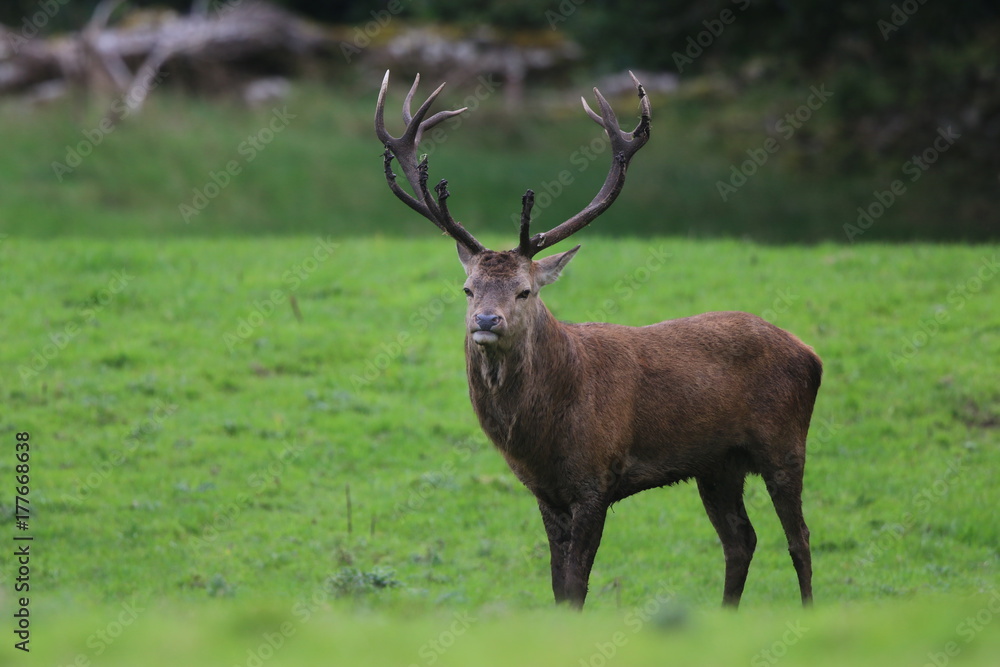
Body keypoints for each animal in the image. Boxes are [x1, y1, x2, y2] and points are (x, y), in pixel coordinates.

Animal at [374, 70, 822, 609]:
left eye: (524, 290)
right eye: (468, 288)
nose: (486, 319)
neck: (543, 432)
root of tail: (812, 354)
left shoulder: (596, 479)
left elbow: (576, 586)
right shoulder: (546, 493)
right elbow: (556, 586)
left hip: (785, 442)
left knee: (800, 539)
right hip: (718, 464)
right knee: (741, 539)